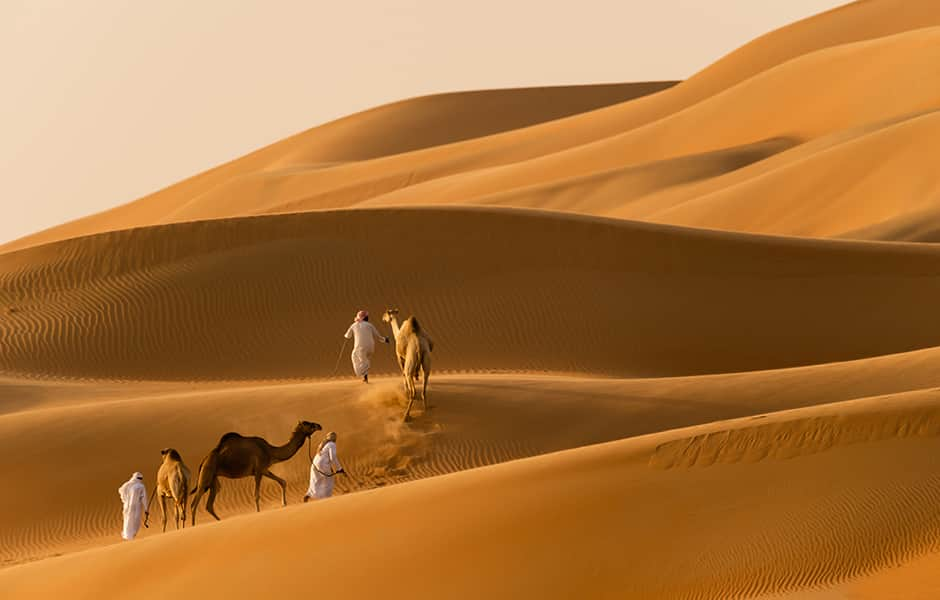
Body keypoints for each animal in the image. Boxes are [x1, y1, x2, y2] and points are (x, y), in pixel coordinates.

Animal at [191, 418, 324, 524]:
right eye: (307, 423)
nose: (319, 425)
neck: (270, 451)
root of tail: (204, 460)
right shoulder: (258, 471)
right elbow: (256, 495)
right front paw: (259, 512)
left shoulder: (264, 469)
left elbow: (282, 481)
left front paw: (284, 503)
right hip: (206, 475)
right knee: (194, 503)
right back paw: (192, 526)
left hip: (213, 480)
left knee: (209, 504)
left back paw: (219, 521)